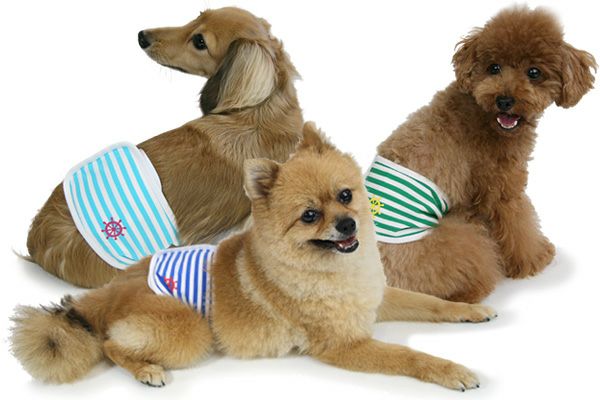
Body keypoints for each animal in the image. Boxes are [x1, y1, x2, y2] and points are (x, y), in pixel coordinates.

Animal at [11, 123, 497, 391]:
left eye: (346, 195)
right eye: (309, 216)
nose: (347, 224)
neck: (335, 273)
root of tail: (109, 291)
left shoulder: (378, 298)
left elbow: (431, 302)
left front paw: (470, 310)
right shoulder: (344, 345)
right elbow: (409, 357)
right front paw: (452, 370)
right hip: (190, 329)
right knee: (111, 345)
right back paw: (147, 370)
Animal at [370, 7, 596, 303]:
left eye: (534, 72)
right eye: (494, 68)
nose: (504, 100)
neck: (484, 114)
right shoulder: (501, 188)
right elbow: (520, 226)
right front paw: (536, 259)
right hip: (456, 240)